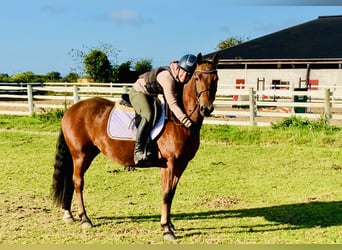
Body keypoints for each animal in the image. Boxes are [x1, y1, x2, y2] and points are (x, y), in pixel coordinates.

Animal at [51, 52, 219, 240]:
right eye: (197, 78)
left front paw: (168, 224)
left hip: (86, 153)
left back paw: (69, 214)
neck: (180, 121)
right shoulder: (170, 163)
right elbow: (167, 194)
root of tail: (71, 110)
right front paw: (166, 229)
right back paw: (85, 219)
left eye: (216, 79)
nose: (206, 109)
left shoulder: (180, 164)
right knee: (78, 182)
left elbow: (170, 193)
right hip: (80, 155)